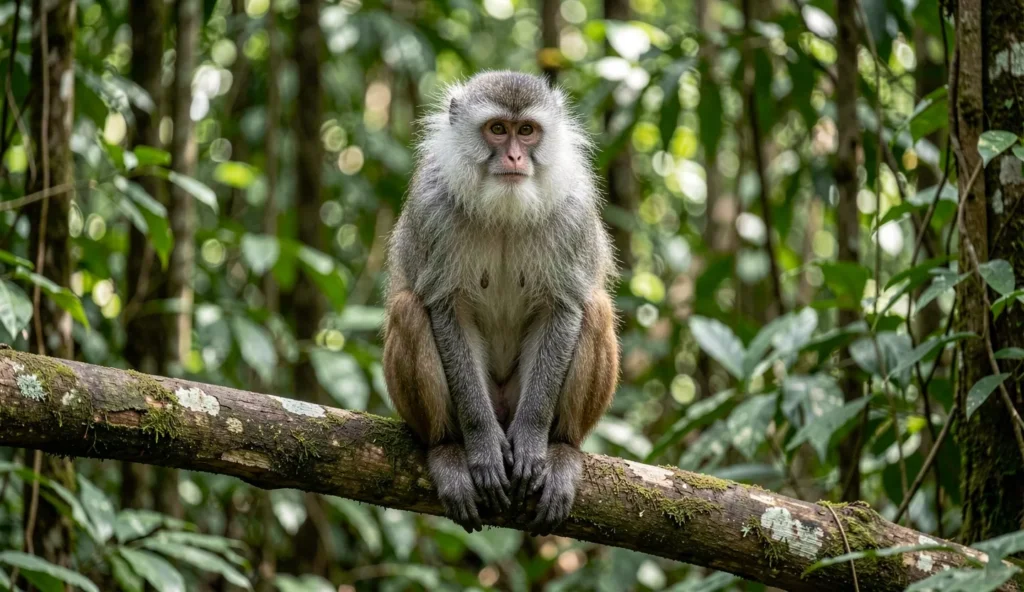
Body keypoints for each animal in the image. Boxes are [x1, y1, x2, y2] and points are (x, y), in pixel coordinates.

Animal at [382, 71, 619, 534]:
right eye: (497, 129)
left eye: (526, 131)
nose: (513, 156)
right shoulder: (433, 209)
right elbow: (443, 307)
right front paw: (481, 445)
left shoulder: (572, 214)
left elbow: (566, 306)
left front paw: (531, 440)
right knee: (408, 308)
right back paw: (446, 448)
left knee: (596, 309)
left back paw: (563, 448)